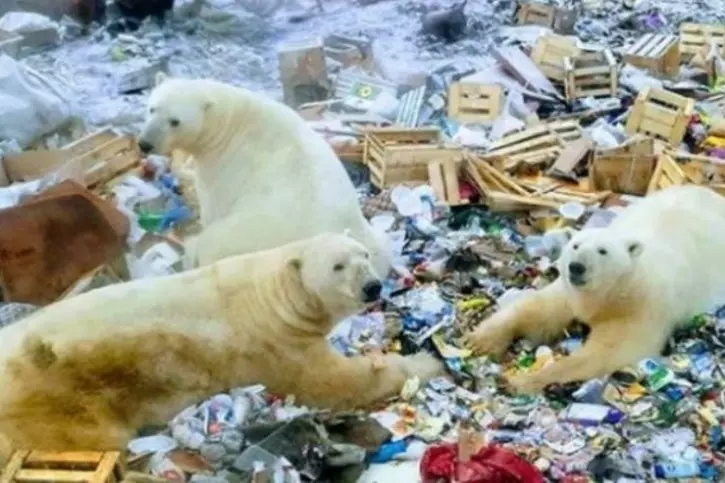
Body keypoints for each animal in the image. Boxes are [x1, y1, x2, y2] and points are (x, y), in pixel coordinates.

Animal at [0, 233, 443, 451]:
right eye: (337, 266)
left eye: (363, 254)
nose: (373, 286)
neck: (274, 296)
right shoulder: (276, 343)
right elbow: (333, 383)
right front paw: (427, 364)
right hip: (59, 400)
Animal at [137, 74, 392, 276]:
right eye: (152, 108)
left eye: (175, 121)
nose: (145, 144)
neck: (229, 120)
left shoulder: (222, 165)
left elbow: (212, 206)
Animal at [464, 184, 725, 395]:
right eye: (575, 245)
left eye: (602, 251)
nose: (576, 267)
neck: (614, 290)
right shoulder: (570, 293)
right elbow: (538, 312)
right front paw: (481, 341)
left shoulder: (639, 307)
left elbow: (608, 351)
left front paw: (523, 381)